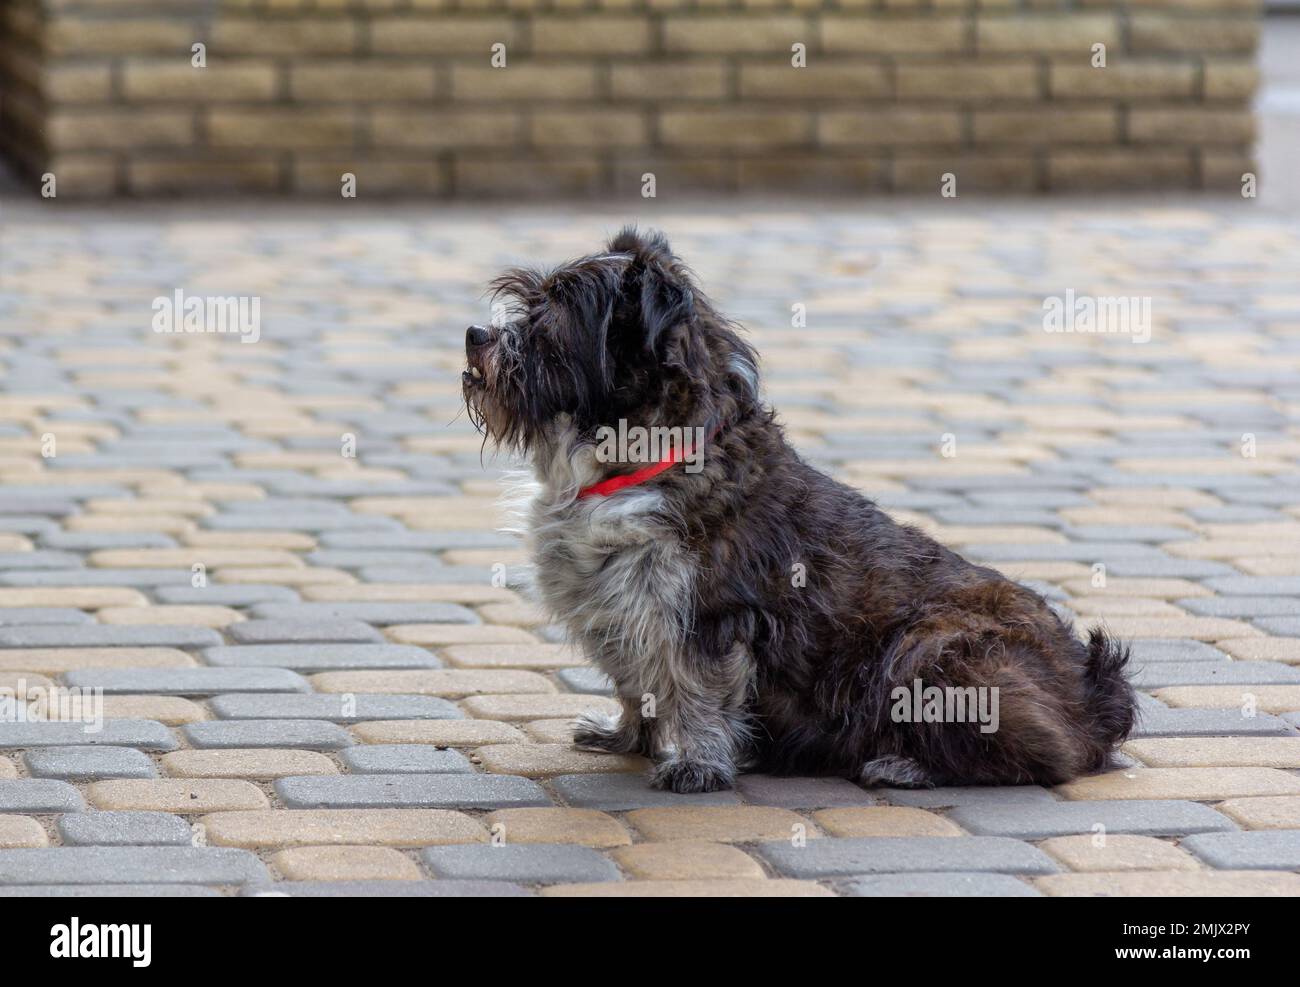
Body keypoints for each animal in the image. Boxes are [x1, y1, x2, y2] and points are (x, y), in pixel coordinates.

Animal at [462, 226, 1133, 795]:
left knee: (1045, 756)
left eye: (551, 314)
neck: (639, 461)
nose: (474, 335)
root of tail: (1091, 690)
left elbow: (697, 691)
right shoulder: (617, 611)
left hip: (932, 651)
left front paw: (698, 764)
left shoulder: (709, 616)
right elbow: (636, 686)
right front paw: (628, 736)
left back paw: (906, 764)